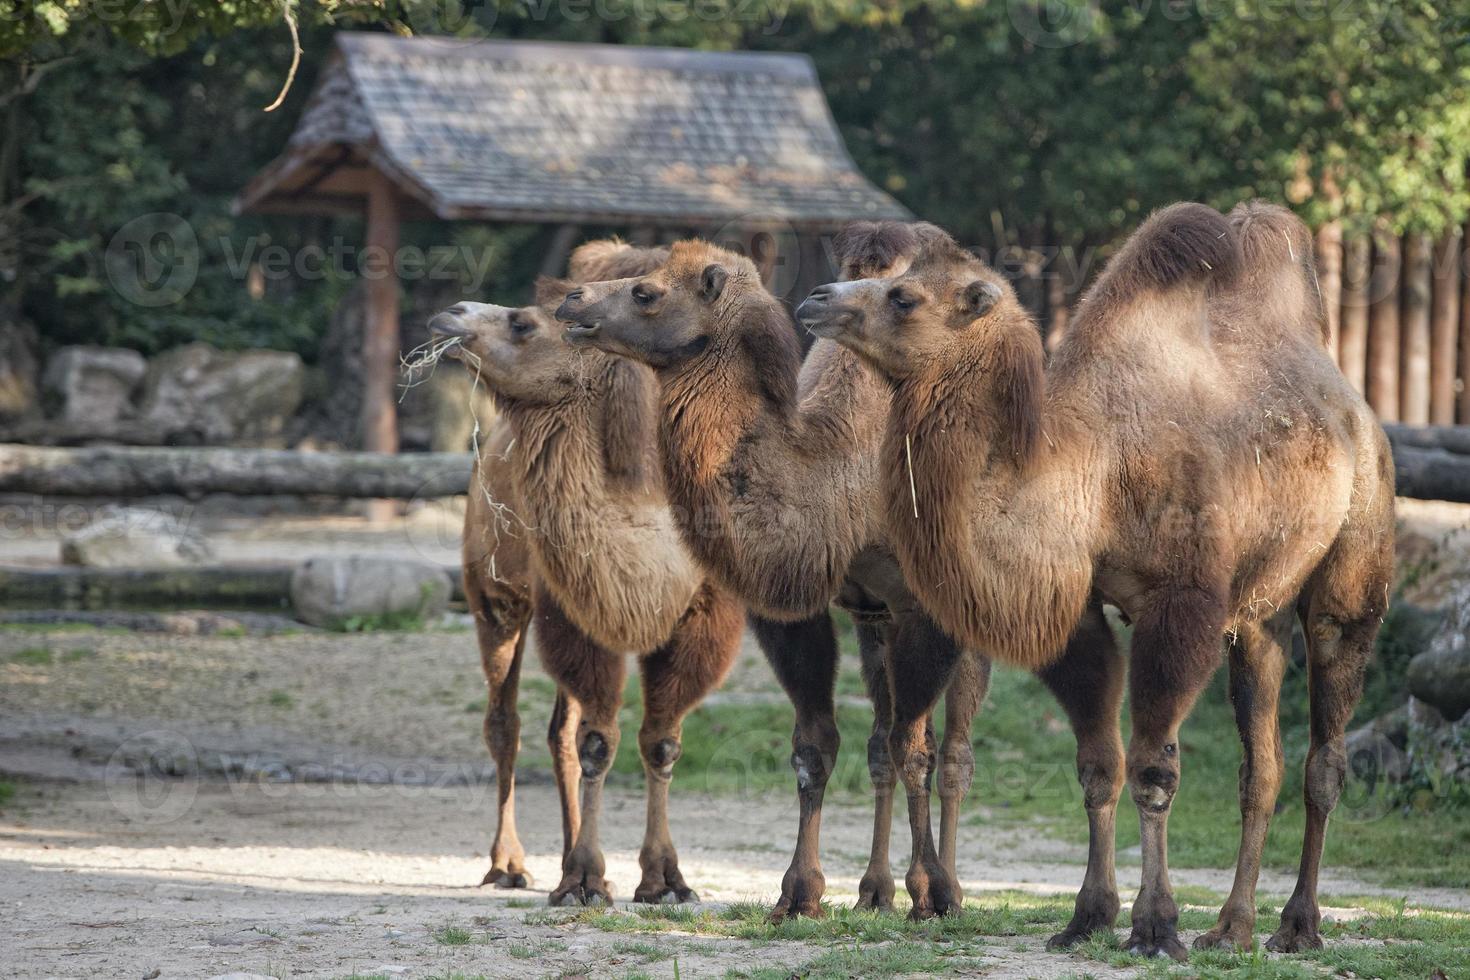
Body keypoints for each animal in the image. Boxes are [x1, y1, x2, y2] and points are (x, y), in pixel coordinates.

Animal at [429, 240, 740, 910]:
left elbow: (660, 741)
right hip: (495, 595)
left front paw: (664, 880)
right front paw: (583, 880)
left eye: (523, 322)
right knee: (508, 723)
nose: (449, 313)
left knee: (559, 732)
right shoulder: (575, 608)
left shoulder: (701, 613)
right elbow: (599, 743)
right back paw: (511, 864)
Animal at [552, 232, 1111, 928]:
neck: (838, 474)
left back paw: (946, 886)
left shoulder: (924, 605)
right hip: (874, 622)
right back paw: (874, 889)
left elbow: (917, 749)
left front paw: (934, 892)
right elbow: (819, 745)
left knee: (952, 751)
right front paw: (800, 892)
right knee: (879, 743)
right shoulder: (801, 608)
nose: (570, 299)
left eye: (646, 292)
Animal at [799, 201, 1393, 957]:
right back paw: (1230, 927)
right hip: (1260, 614)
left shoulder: (1182, 602)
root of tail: (1357, 411)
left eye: (904, 296)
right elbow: (1097, 764)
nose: (816, 299)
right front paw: (1089, 916)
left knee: (1326, 750)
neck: (1095, 472)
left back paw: (1298, 925)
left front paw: (1155, 925)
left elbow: (1152, 768)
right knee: (1262, 766)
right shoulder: (1079, 608)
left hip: (1355, 563)